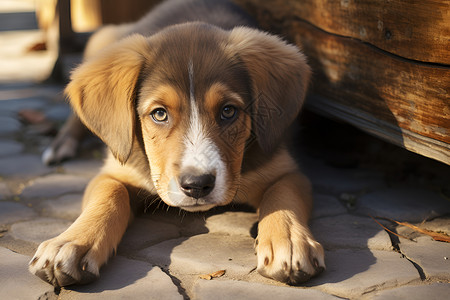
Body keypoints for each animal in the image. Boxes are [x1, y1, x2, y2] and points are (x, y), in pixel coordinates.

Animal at [29, 0, 324, 288]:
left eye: (228, 111)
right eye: (159, 114)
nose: (197, 185)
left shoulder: (285, 169)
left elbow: (283, 195)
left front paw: (288, 242)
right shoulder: (115, 171)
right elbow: (109, 196)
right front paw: (71, 242)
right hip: (102, 38)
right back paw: (61, 145)